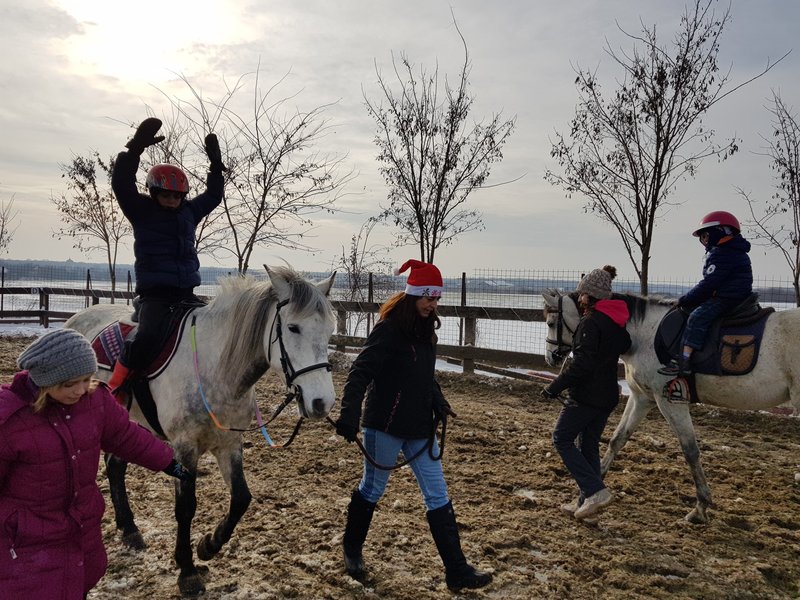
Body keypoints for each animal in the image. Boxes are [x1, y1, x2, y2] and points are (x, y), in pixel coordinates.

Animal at [64, 268, 334, 596]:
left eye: (329, 331)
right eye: (293, 328)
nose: (321, 402)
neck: (214, 366)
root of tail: (76, 320)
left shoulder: (229, 443)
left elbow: (241, 498)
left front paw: (209, 545)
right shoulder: (185, 447)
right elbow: (186, 507)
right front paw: (187, 571)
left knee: (115, 466)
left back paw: (129, 529)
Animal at [536, 288, 800, 524]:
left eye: (550, 322)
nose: (550, 358)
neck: (643, 335)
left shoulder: (670, 401)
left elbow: (690, 451)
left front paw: (700, 508)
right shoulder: (642, 398)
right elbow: (617, 439)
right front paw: (593, 486)